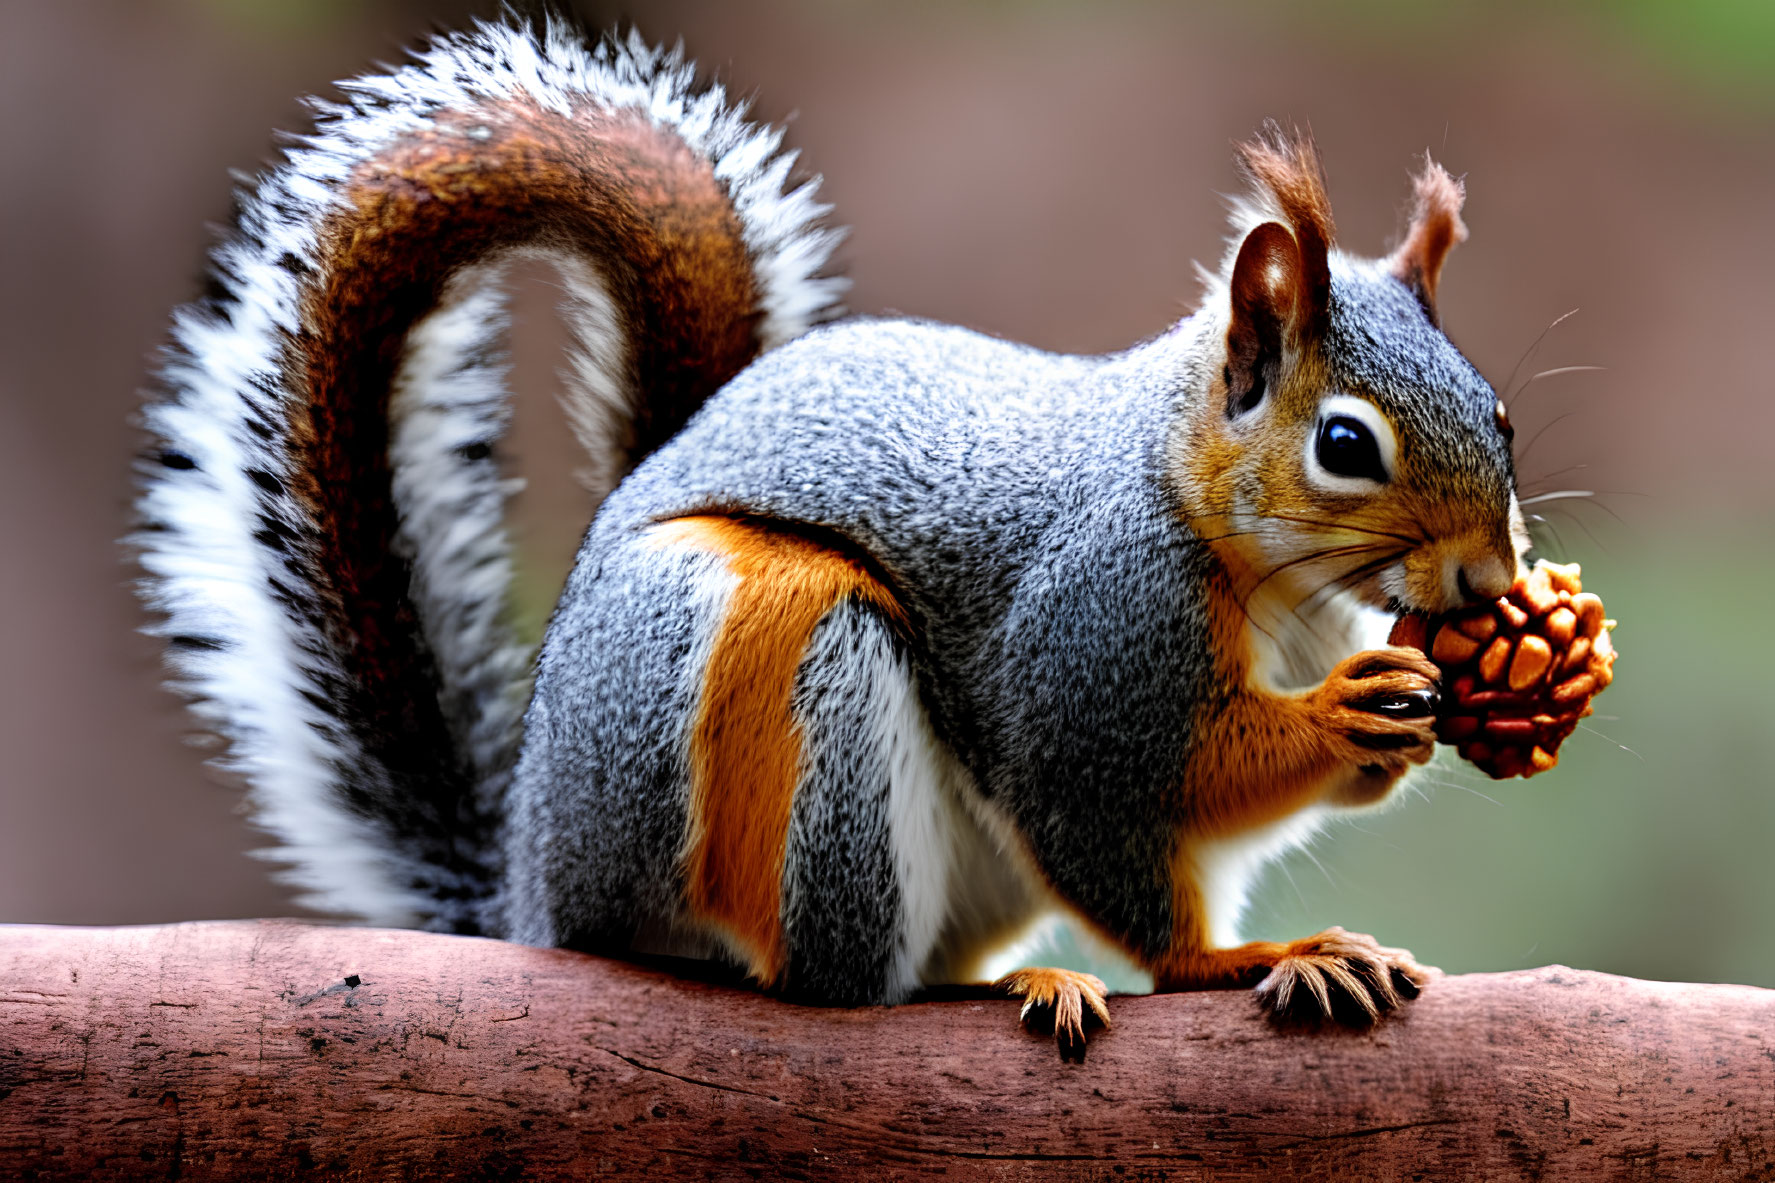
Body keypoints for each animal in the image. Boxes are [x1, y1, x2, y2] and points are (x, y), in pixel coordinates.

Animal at [138, 18, 1526, 1051]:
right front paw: (1254, 943)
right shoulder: (1090, 647)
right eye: (1343, 444)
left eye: (1499, 410)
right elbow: (1124, 826)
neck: (1259, 570)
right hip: (778, 652)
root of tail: (539, 870)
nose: (1488, 574)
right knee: (831, 980)